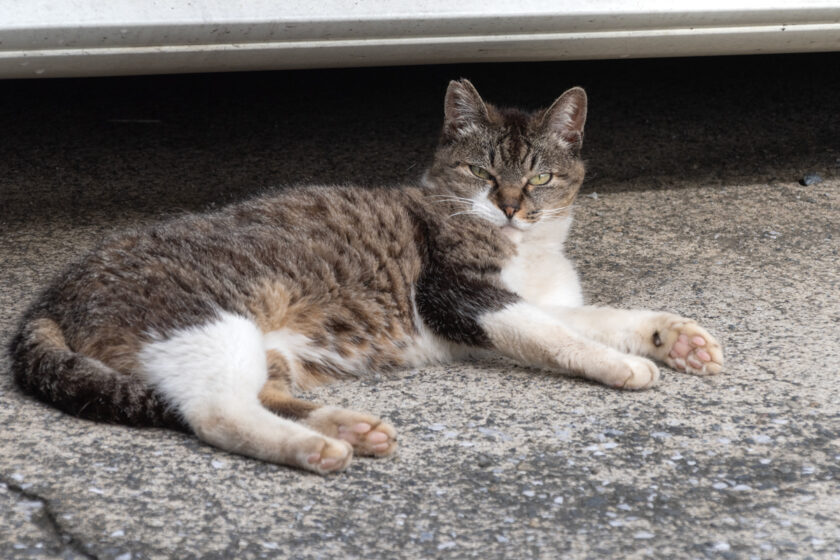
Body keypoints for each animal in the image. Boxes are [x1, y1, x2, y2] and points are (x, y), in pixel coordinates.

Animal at [8, 79, 720, 472]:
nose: (512, 204)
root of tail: (54, 291)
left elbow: (597, 317)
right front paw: (622, 364)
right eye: (483, 173)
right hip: (208, 322)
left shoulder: (521, 300)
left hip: (259, 350)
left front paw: (671, 337)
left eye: (540, 177)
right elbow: (559, 337)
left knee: (255, 394)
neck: (527, 248)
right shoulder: (462, 296)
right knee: (213, 412)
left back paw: (347, 427)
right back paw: (316, 449)